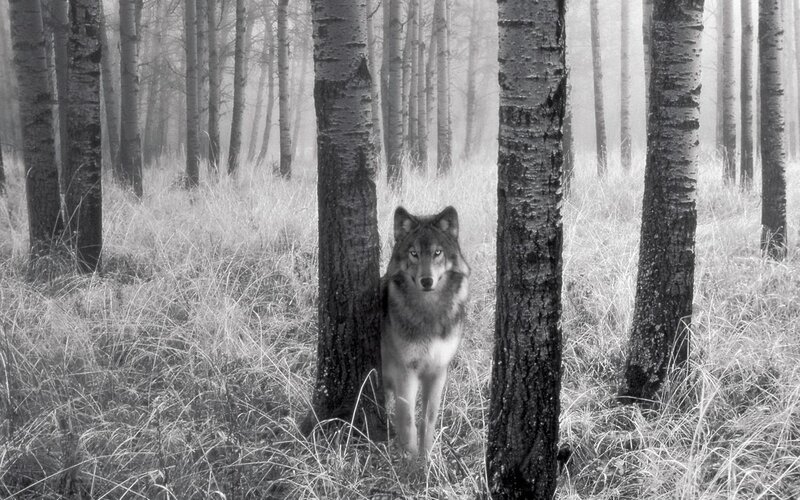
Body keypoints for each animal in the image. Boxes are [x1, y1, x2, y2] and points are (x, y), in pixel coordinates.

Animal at [381, 206, 470, 459]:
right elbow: (408, 421)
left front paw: (427, 458)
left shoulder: (438, 371)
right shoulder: (406, 372)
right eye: (414, 253)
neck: (429, 312)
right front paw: (410, 462)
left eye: (437, 252)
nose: (427, 280)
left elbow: (428, 420)